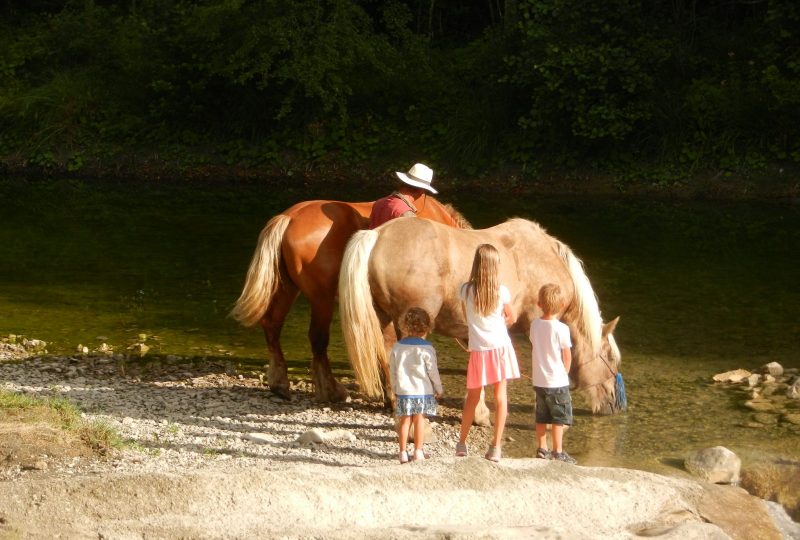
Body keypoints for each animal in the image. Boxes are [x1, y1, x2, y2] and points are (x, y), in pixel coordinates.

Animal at [228, 194, 468, 400]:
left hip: (288, 288)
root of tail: (289, 218)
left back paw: (279, 383)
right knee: (318, 339)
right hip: (321, 298)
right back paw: (331, 390)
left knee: (272, 324)